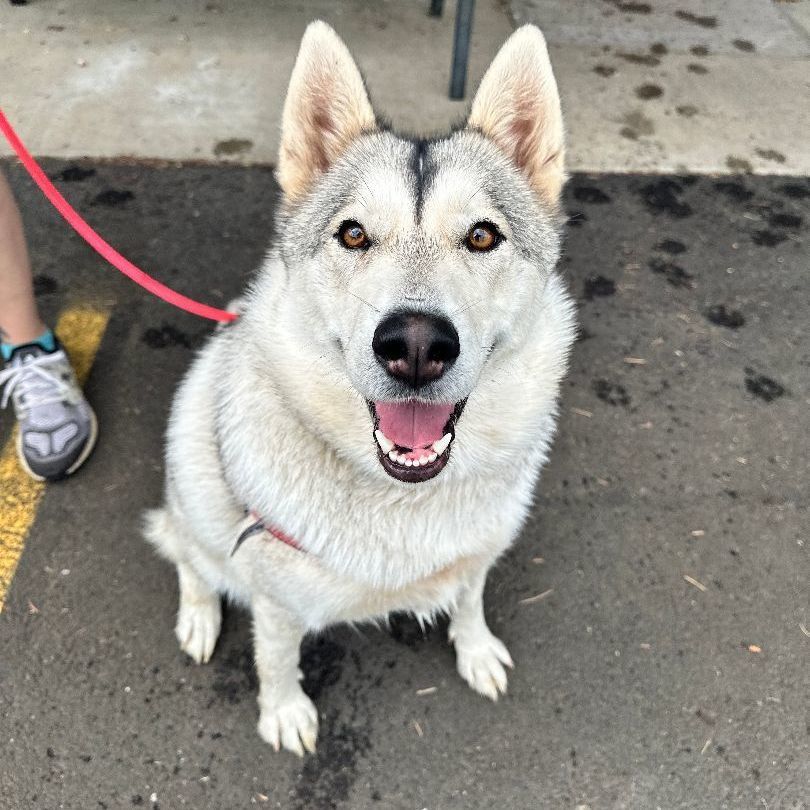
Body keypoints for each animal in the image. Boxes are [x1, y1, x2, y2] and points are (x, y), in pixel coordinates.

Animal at [144, 20, 576, 752]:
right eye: (352, 234)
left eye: (482, 235)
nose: (416, 346)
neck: (403, 500)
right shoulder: (275, 594)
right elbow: (275, 658)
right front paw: (284, 712)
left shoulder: (477, 551)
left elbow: (469, 597)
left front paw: (475, 650)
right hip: (196, 495)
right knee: (190, 561)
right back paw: (199, 617)